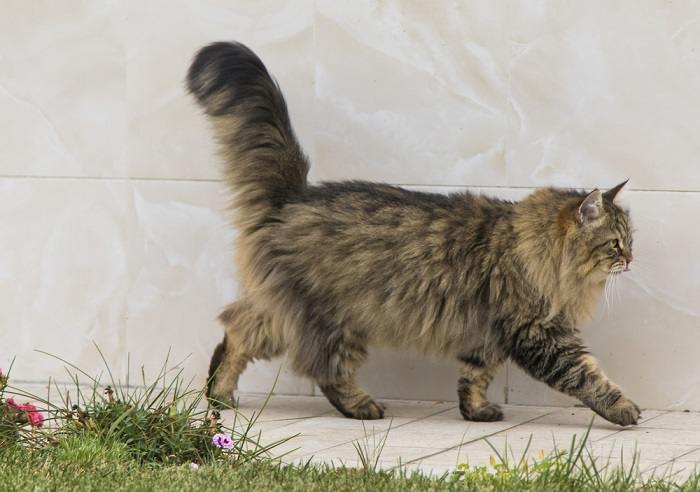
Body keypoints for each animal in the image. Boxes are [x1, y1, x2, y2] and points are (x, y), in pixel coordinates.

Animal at [187, 41, 640, 426]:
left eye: (630, 243)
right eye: (616, 244)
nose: (631, 261)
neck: (536, 248)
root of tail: (295, 195)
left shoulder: (489, 337)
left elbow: (474, 377)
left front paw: (475, 411)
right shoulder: (538, 332)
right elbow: (585, 375)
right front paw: (623, 409)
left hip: (281, 309)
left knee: (236, 330)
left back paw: (219, 395)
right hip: (332, 320)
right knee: (325, 370)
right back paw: (361, 406)